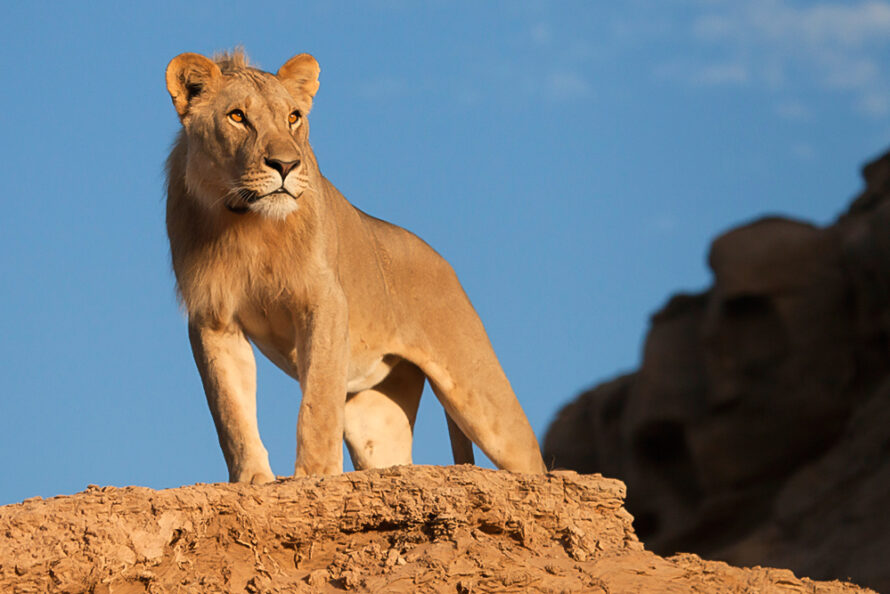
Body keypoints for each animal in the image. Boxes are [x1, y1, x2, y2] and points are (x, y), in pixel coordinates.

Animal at [163, 49, 544, 480]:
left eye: (293, 117)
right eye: (237, 116)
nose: (285, 165)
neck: (247, 224)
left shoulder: (324, 300)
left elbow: (317, 403)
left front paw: (313, 475)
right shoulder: (213, 316)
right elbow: (231, 411)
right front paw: (252, 479)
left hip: (480, 394)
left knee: (531, 459)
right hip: (375, 414)